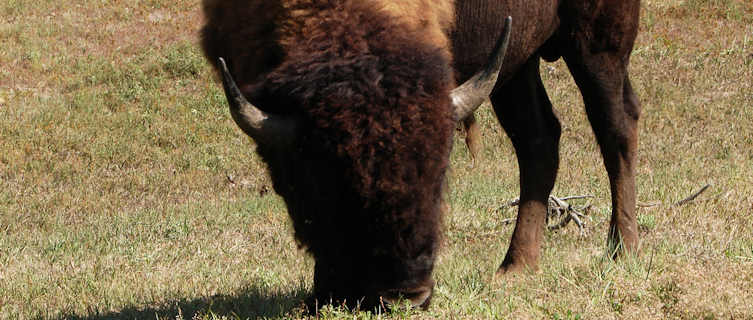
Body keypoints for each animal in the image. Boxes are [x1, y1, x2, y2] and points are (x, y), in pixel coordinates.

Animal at [200, 0, 640, 312]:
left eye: (440, 175)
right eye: (326, 185)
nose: (405, 295)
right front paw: (321, 295)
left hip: (598, 43)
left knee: (617, 127)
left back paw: (622, 249)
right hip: (518, 65)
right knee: (539, 141)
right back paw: (515, 267)